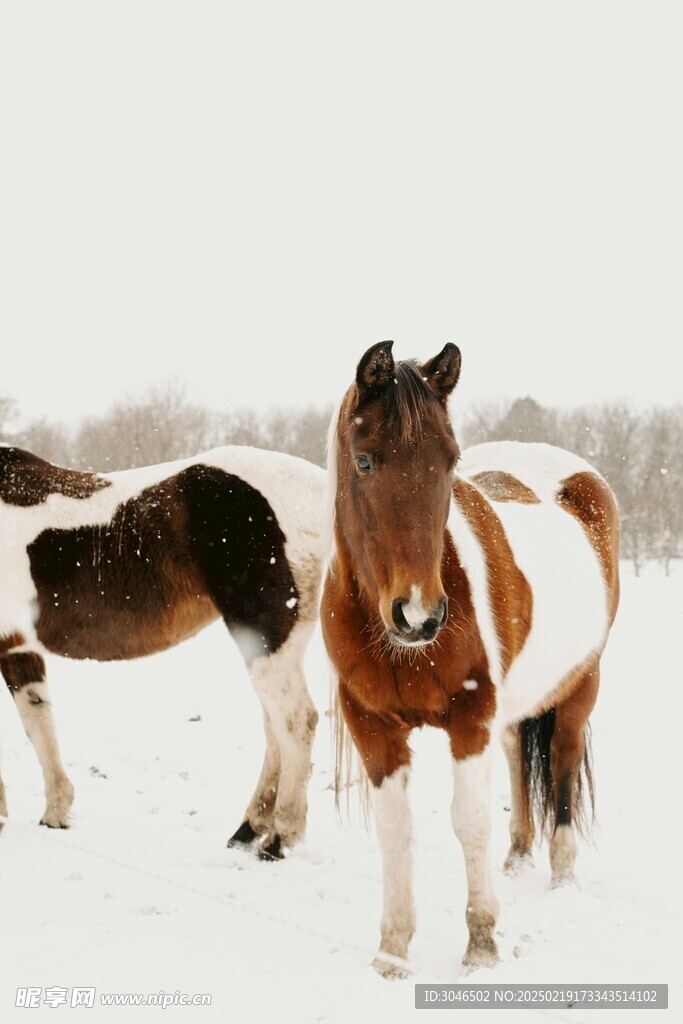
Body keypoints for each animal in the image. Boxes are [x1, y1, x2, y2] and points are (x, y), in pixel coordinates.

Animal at [0, 440, 325, 856]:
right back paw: (248, 830)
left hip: (265, 637)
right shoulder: (17, 646)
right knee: (275, 729)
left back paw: (278, 838)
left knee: (296, 723)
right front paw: (55, 813)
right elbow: (39, 723)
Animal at [323, 344, 622, 974]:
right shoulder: (372, 725)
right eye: (364, 462)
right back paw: (518, 856)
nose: (419, 615)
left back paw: (561, 876)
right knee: (516, 756)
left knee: (561, 764)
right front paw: (392, 951)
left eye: (450, 461)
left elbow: (470, 821)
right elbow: (395, 830)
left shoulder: (470, 717)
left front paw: (482, 943)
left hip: (580, 685)